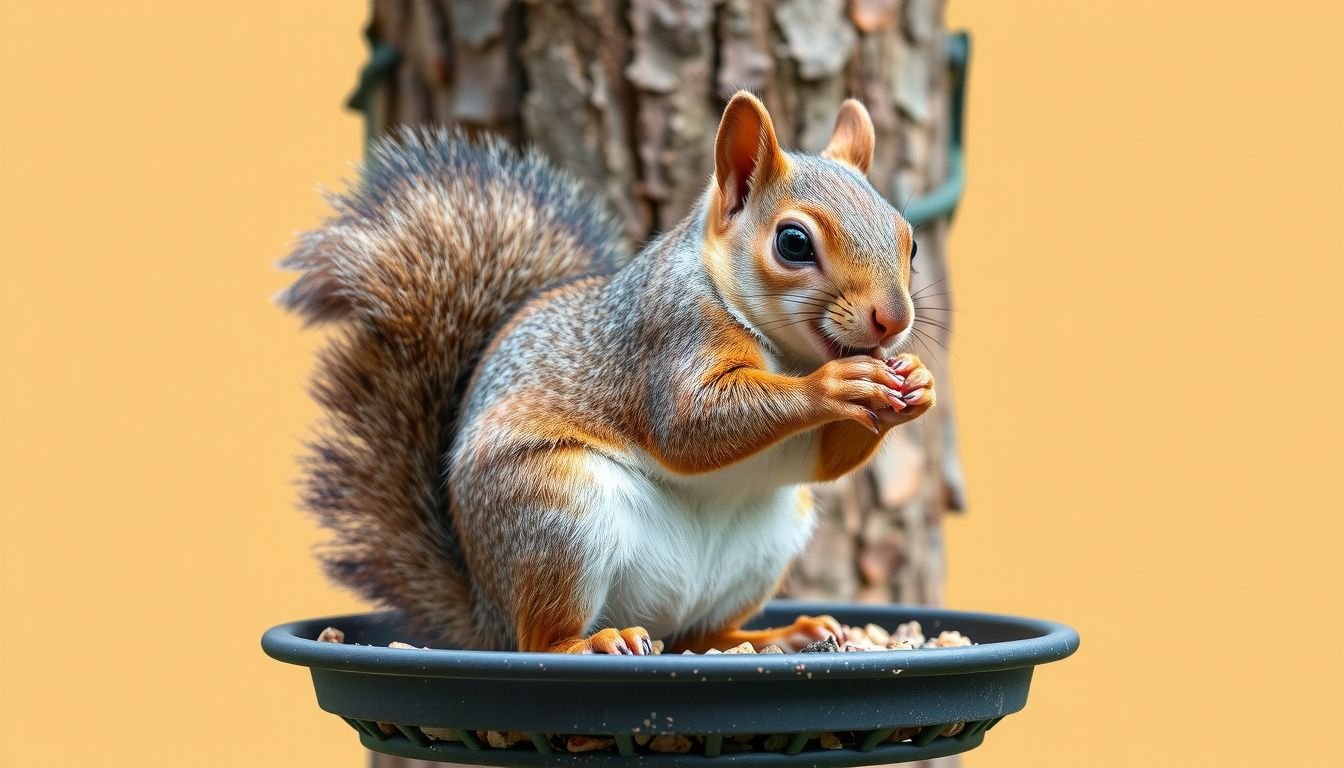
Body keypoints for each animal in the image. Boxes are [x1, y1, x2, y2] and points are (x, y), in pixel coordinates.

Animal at [281, 92, 935, 655]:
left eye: (910, 241)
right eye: (793, 242)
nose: (893, 320)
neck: (788, 351)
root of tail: (487, 613)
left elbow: (818, 458)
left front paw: (916, 383)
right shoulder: (669, 336)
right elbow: (690, 424)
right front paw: (833, 386)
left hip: (765, 545)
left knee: (704, 634)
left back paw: (787, 634)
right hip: (556, 510)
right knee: (540, 641)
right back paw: (593, 641)